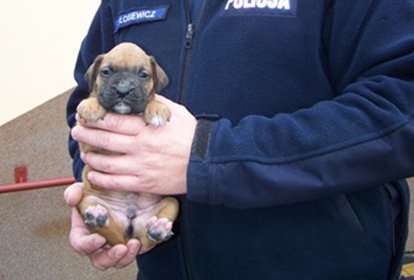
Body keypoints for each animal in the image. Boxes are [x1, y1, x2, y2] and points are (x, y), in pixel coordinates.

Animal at [75, 42, 179, 252]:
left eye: (143, 74)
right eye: (106, 71)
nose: (123, 90)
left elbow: (152, 99)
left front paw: (157, 108)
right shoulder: (87, 144)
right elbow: (93, 99)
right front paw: (91, 105)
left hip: (171, 201)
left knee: (149, 238)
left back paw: (158, 229)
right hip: (87, 200)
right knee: (114, 236)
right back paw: (99, 219)